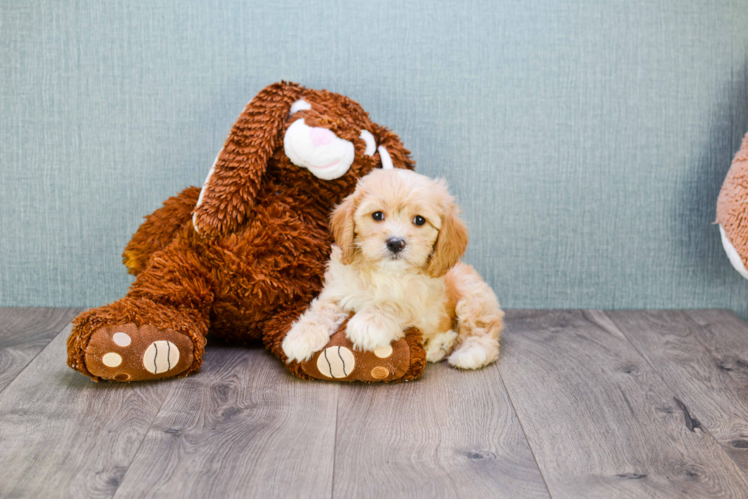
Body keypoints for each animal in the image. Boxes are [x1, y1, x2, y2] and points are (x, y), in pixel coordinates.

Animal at [284, 170, 506, 370]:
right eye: (377, 215)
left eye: (419, 220)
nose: (395, 243)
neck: (385, 273)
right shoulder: (339, 290)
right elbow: (323, 309)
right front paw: (301, 335)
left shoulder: (423, 308)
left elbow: (396, 304)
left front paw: (368, 324)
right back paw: (439, 347)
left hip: (472, 295)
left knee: (484, 332)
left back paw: (468, 354)